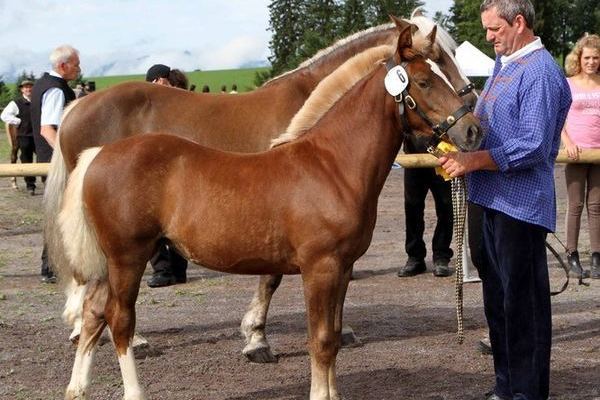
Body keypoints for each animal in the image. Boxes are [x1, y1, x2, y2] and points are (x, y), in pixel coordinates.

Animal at [59, 25, 482, 400]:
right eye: (424, 81)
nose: (473, 130)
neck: (331, 164)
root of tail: (99, 154)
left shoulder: (342, 267)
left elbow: (334, 336)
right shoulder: (319, 268)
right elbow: (320, 340)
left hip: (111, 261)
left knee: (95, 312)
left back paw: (77, 388)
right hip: (128, 257)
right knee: (120, 321)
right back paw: (134, 390)